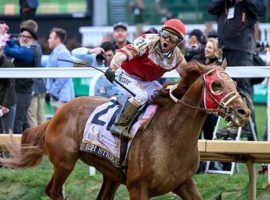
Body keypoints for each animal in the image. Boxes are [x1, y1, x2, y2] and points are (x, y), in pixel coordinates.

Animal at [0, 60, 250, 199]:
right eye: (217, 84)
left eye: (235, 83)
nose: (243, 112)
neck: (170, 136)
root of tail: (57, 115)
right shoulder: (138, 188)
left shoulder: (184, 183)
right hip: (64, 162)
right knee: (53, 190)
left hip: (110, 174)